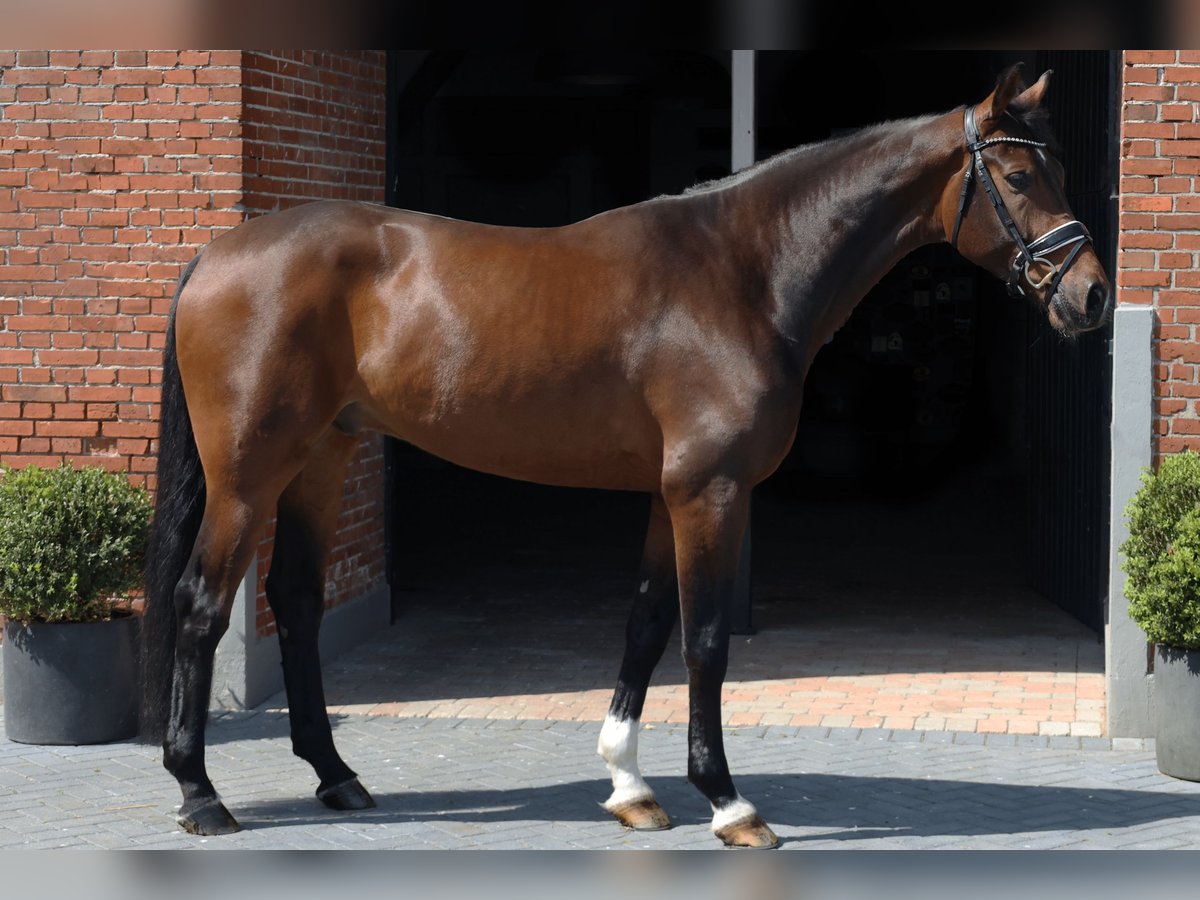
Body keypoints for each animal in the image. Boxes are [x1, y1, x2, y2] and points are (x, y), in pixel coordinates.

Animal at [142, 66, 1113, 849]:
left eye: (1060, 170)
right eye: (1018, 175)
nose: (1093, 294)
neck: (742, 274)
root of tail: (217, 254)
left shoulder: (667, 491)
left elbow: (646, 626)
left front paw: (631, 788)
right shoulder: (711, 491)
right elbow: (707, 640)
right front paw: (728, 803)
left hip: (320, 458)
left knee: (298, 601)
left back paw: (338, 777)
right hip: (248, 475)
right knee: (200, 603)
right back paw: (199, 794)